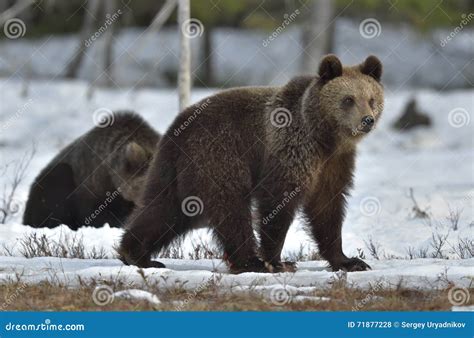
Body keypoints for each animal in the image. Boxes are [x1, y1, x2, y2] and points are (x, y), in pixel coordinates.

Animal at [119, 54, 386, 274]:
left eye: (372, 99)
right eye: (348, 99)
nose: (367, 120)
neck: (325, 137)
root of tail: (177, 127)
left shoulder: (335, 163)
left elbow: (327, 206)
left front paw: (350, 261)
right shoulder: (290, 148)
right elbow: (278, 201)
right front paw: (276, 261)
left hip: (174, 169)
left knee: (164, 208)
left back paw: (136, 253)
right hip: (219, 156)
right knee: (231, 207)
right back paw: (250, 261)